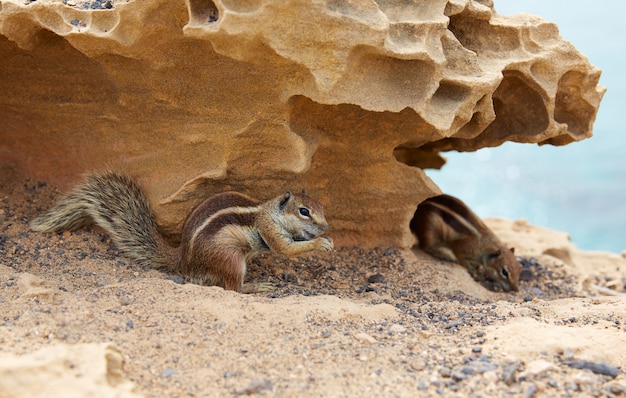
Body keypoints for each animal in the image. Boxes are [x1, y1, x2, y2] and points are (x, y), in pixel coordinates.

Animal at [30, 171, 332, 292]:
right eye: (304, 211)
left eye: (321, 207)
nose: (326, 227)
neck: (269, 211)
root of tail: (183, 261)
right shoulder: (268, 228)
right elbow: (285, 249)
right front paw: (321, 243)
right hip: (231, 258)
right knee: (233, 288)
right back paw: (256, 287)